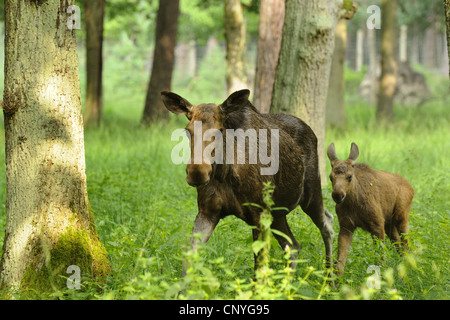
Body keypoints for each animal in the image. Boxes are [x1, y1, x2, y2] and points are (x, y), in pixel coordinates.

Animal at [162, 89, 334, 272]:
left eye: (220, 130)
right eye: (187, 131)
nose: (197, 172)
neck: (225, 173)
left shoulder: (258, 215)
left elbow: (259, 268)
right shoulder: (207, 212)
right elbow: (188, 257)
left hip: (310, 194)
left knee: (328, 224)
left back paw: (331, 275)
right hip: (277, 213)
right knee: (293, 245)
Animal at [326, 142, 414, 276]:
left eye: (349, 176)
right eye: (331, 177)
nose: (338, 195)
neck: (354, 205)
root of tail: (411, 188)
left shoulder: (377, 224)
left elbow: (380, 257)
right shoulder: (346, 226)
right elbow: (340, 261)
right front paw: (335, 280)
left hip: (401, 216)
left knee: (406, 246)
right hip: (389, 224)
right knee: (398, 245)